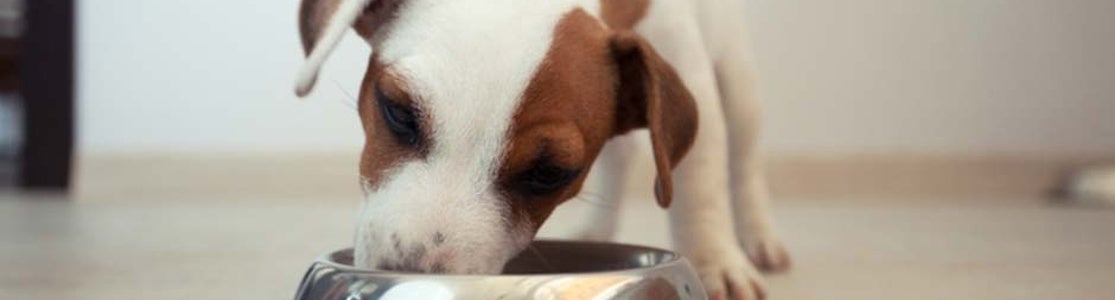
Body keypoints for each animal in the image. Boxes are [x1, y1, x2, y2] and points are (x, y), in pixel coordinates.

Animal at [292, 1, 789, 296]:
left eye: (550, 173)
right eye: (398, 112)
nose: (412, 275)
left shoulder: (691, 69)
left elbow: (700, 190)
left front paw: (715, 262)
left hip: (737, 81)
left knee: (743, 162)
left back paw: (760, 239)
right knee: (621, 155)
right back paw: (596, 229)